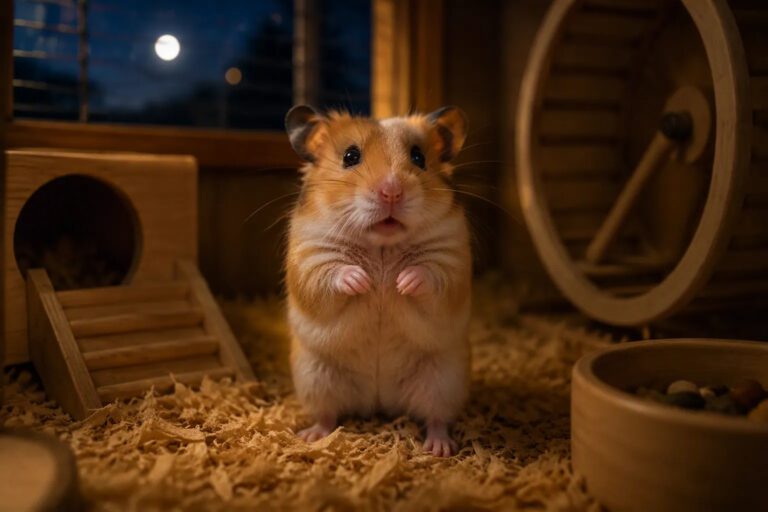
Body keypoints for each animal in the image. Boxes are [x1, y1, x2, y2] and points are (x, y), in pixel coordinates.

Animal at [283, 105, 472, 457]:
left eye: (418, 157)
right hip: (316, 377)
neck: (383, 245)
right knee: (327, 414)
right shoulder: (310, 257)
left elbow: (431, 275)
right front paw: (365, 281)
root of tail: (379, 399)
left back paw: (439, 448)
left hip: (443, 380)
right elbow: (330, 275)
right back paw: (313, 436)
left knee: (437, 418)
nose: (392, 191)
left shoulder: (451, 260)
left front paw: (401, 282)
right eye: (350, 156)